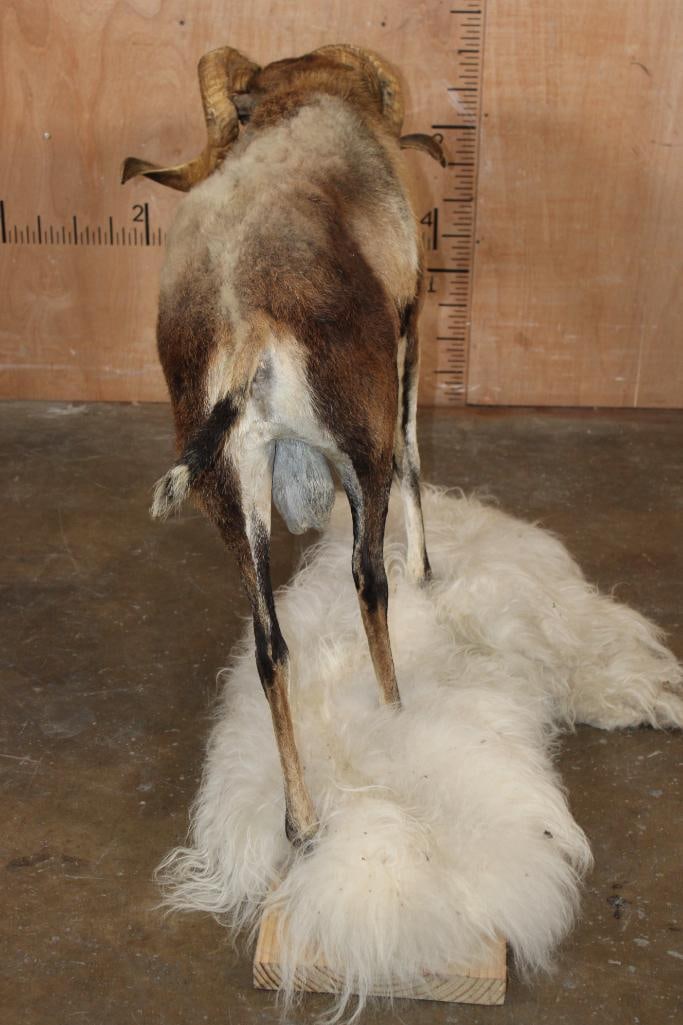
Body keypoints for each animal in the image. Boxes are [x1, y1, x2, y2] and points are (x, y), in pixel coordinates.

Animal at [123, 45, 446, 847]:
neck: (301, 105)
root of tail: (247, 323)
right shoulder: (410, 332)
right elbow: (418, 456)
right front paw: (427, 570)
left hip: (231, 494)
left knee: (269, 649)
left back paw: (301, 822)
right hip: (361, 451)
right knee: (368, 583)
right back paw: (395, 717)